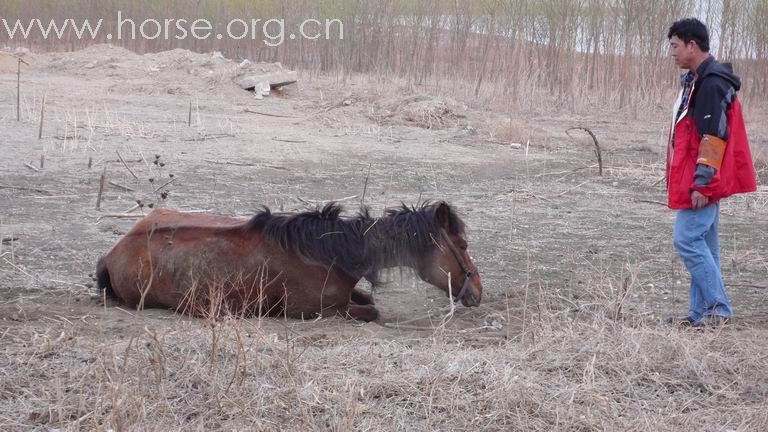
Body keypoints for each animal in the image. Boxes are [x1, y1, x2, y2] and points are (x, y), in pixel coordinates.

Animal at [94, 200, 480, 320]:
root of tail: (113, 253)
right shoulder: (318, 311)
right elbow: (371, 310)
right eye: (461, 243)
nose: (477, 289)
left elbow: (367, 298)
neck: (329, 253)